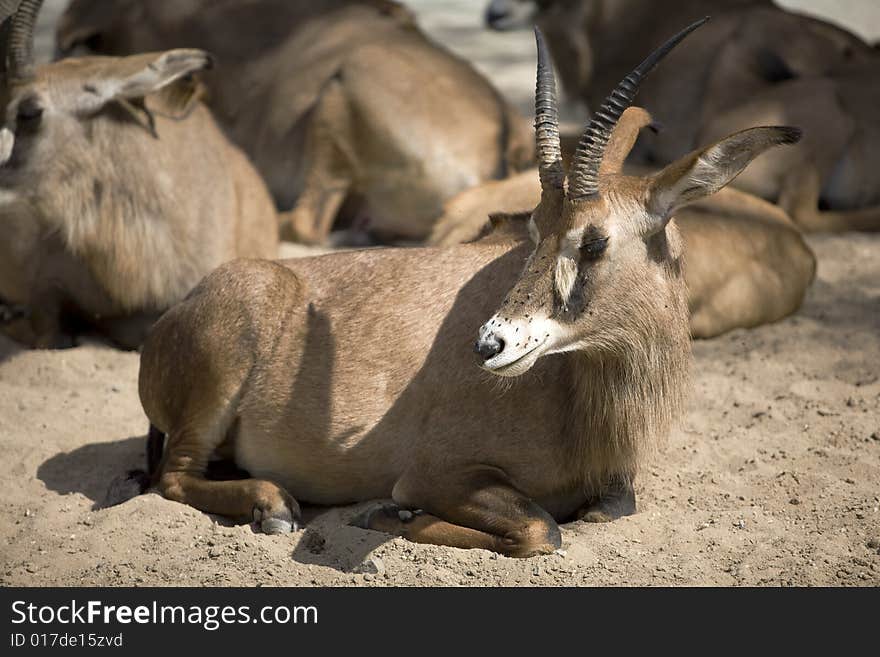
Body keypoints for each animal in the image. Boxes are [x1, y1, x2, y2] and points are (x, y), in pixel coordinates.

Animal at [139, 21, 804, 552]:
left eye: (592, 241)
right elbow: (541, 528)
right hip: (214, 391)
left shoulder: (613, 487)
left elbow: (608, 508)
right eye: (532, 228)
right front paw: (390, 515)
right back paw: (272, 504)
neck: (578, 395)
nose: (490, 344)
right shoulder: (435, 473)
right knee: (173, 476)